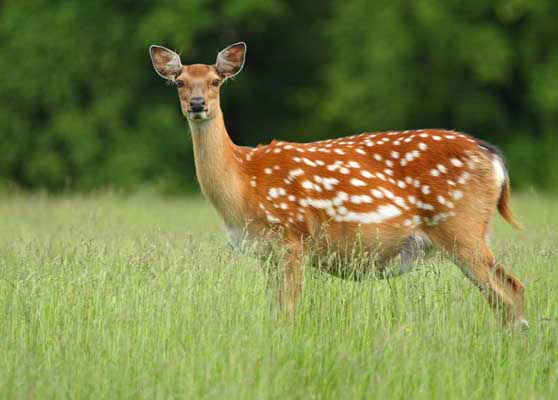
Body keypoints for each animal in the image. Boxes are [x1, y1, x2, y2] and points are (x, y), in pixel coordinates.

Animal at [149, 41, 528, 328]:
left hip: (461, 227)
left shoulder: (292, 237)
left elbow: (288, 311)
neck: (243, 183)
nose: (197, 104)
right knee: (502, 295)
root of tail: (495, 158)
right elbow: (274, 310)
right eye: (180, 82)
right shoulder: (265, 252)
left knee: (511, 289)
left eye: (215, 81)